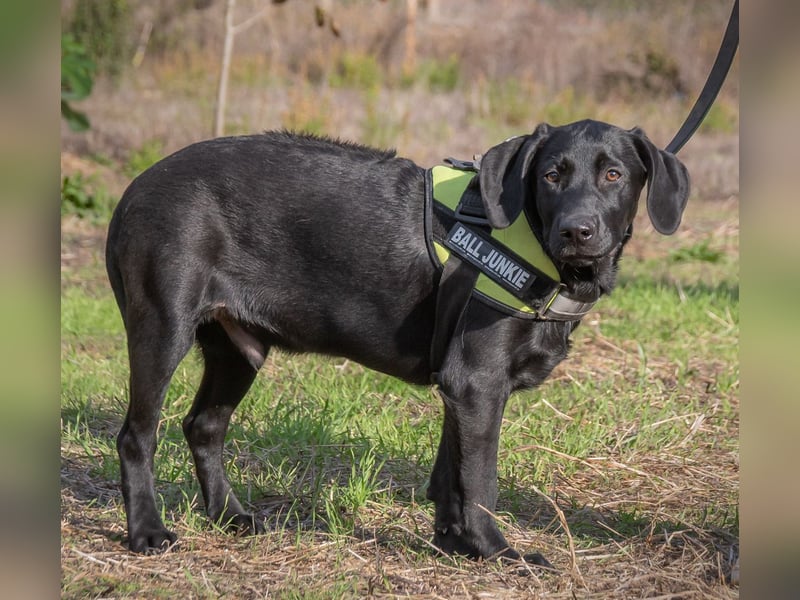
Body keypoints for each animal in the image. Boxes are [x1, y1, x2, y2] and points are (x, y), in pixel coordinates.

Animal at [106, 119, 692, 560]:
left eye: (614, 174)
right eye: (551, 175)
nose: (577, 231)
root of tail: (134, 188)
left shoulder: (460, 388)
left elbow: (451, 475)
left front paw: (455, 544)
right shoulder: (477, 382)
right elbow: (481, 483)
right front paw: (497, 551)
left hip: (237, 349)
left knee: (203, 426)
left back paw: (229, 516)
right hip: (163, 327)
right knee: (138, 435)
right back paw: (147, 531)